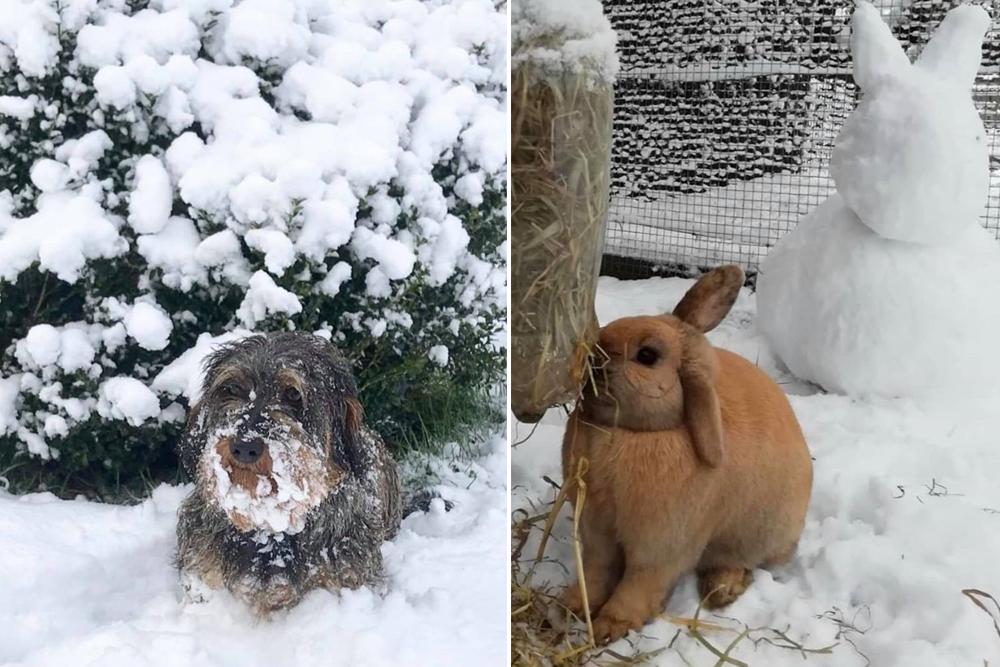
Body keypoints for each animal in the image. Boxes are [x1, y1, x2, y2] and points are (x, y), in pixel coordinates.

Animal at [564, 268, 812, 648]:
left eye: (647, 355)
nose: (593, 357)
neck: (635, 433)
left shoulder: (661, 546)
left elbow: (639, 584)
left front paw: (610, 626)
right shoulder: (595, 531)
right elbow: (596, 570)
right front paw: (571, 605)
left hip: (756, 534)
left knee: (740, 561)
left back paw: (721, 590)